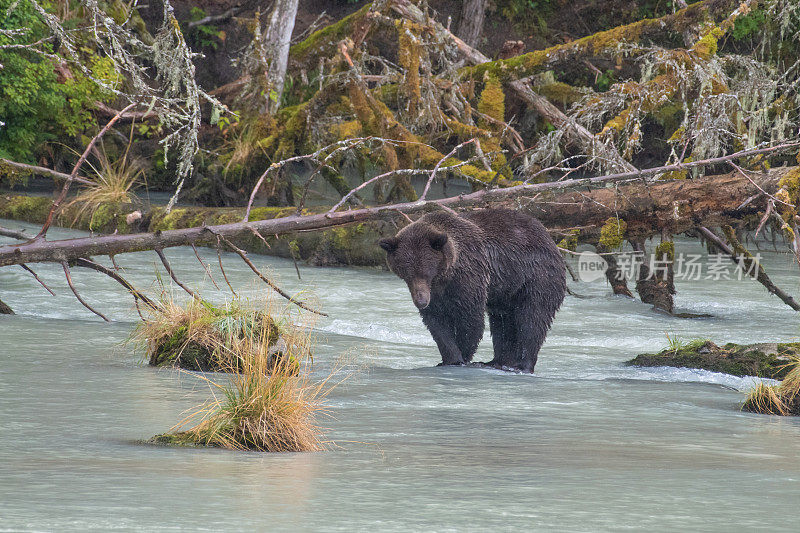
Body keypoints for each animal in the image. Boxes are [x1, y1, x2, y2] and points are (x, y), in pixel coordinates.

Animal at [378, 206, 564, 372]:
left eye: (426, 273)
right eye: (407, 275)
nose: (421, 301)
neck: (447, 276)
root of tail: (549, 238)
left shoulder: (470, 277)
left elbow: (470, 320)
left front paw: (461, 358)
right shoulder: (437, 295)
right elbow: (437, 324)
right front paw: (448, 358)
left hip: (536, 278)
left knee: (532, 318)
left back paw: (522, 365)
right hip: (506, 292)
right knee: (503, 323)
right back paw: (497, 362)